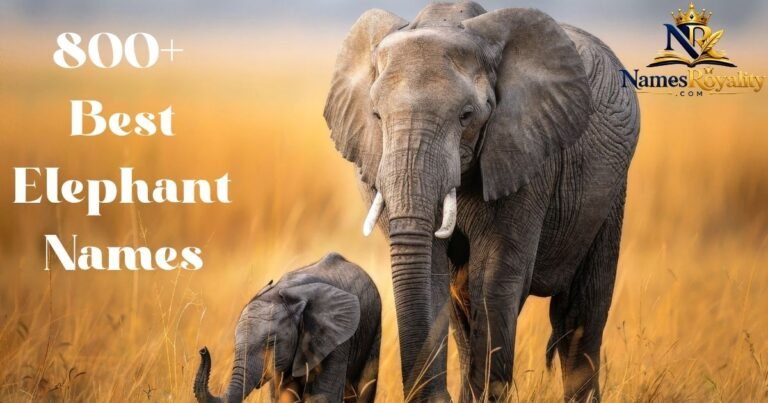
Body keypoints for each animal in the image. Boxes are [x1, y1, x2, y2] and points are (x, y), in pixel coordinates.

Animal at [324, 2, 639, 401]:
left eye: (466, 116)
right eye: (377, 116)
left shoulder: (526, 158)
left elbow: (493, 279)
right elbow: (434, 275)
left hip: (612, 190)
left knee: (581, 313)